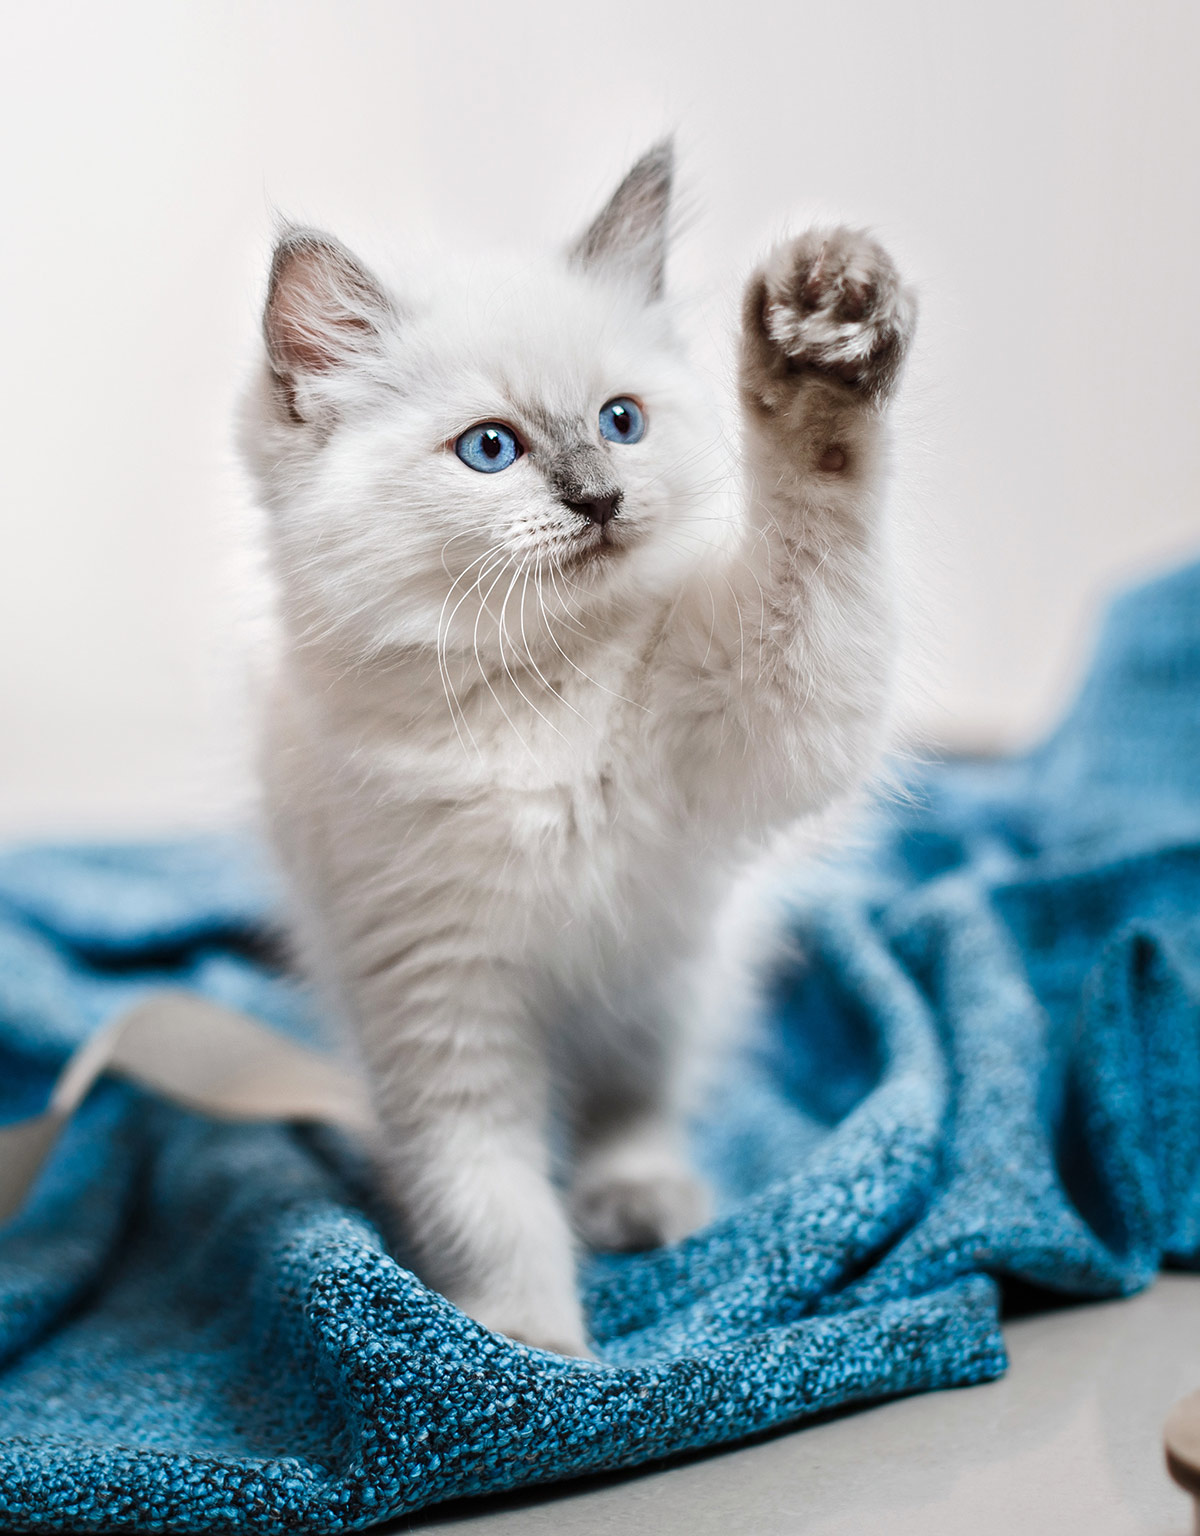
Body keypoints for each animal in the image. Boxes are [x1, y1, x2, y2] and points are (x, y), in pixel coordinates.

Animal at [241, 144, 915, 1357]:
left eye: (621, 421)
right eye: (490, 450)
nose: (600, 499)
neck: (538, 692)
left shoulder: (765, 711)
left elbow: (818, 506)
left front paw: (822, 338)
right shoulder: (441, 999)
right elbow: (487, 1199)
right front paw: (531, 1356)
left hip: (664, 970)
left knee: (630, 1097)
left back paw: (643, 1206)